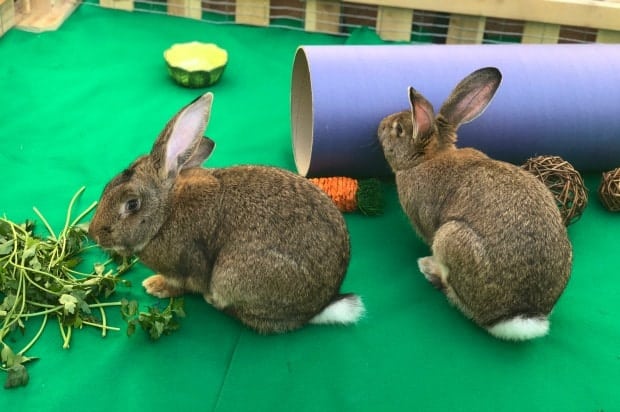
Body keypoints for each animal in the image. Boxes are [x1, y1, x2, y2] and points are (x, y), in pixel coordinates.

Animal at [89, 91, 366, 334]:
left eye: (132, 204)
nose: (94, 234)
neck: (166, 214)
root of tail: (320, 307)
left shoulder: (187, 265)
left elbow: (180, 285)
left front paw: (154, 286)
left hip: (232, 275)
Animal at [380, 66, 572, 340]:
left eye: (398, 130)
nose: (380, 126)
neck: (427, 158)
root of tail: (519, 315)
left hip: (450, 238)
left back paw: (428, 268)